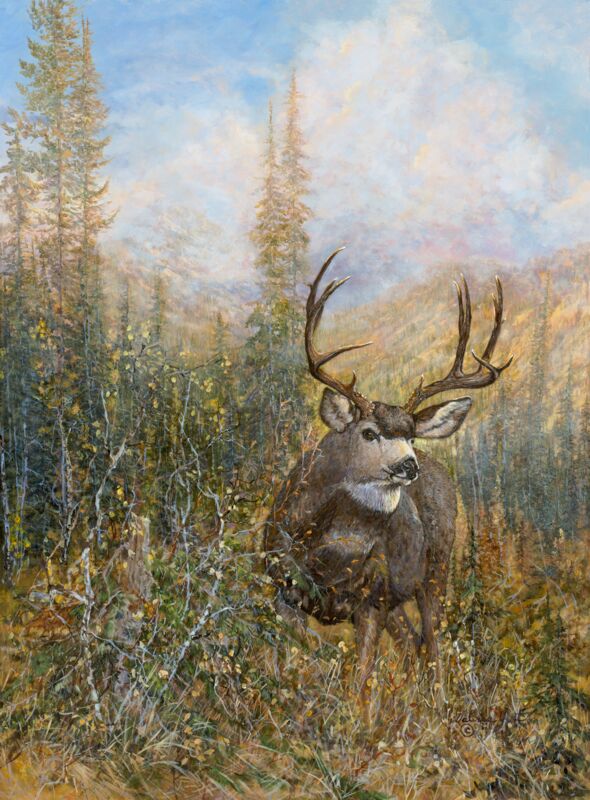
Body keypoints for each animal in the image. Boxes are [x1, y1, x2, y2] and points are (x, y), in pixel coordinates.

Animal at [264, 248, 512, 711]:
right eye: (369, 432)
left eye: (410, 434)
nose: (408, 466)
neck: (332, 552)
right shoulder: (281, 584)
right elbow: (292, 660)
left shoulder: (372, 600)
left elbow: (359, 681)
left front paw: (353, 720)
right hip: (401, 596)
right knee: (412, 643)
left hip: (436, 567)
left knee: (431, 643)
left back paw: (437, 707)